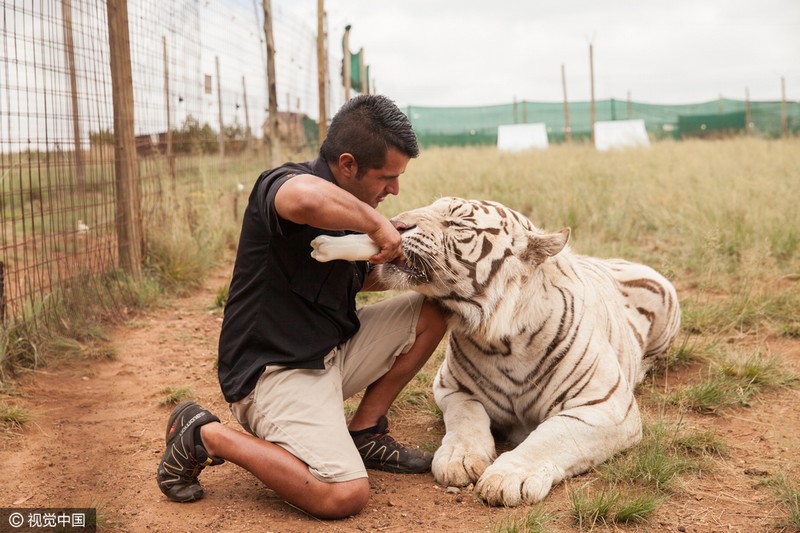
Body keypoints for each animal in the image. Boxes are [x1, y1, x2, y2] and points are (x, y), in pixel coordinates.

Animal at [378, 197, 680, 504]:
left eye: (457, 223)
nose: (393, 224)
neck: (501, 342)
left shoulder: (606, 406)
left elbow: (553, 436)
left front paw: (507, 478)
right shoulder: (452, 388)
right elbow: (466, 417)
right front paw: (458, 459)